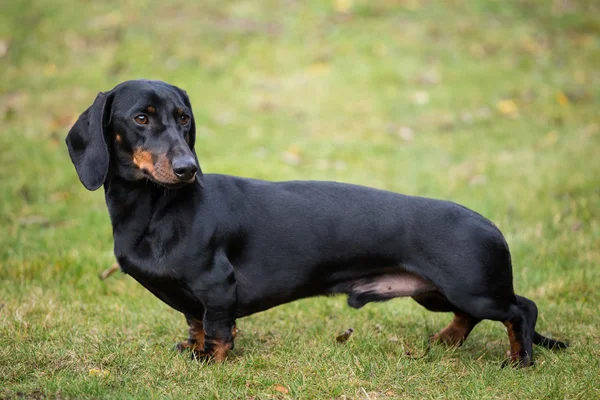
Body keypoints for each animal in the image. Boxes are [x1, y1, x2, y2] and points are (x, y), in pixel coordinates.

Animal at [65, 79, 568, 368]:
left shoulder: (216, 285)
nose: (188, 169)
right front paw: (194, 348)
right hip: (436, 294)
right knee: (476, 316)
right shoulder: (193, 298)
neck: (156, 209)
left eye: (184, 118)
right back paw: (447, 340)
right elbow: (195, 322)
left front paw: (214, 360)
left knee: (521, 310)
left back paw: (520, 359)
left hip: (472, 288)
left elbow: (220, 327)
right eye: (141, 117)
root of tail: (490, 224)